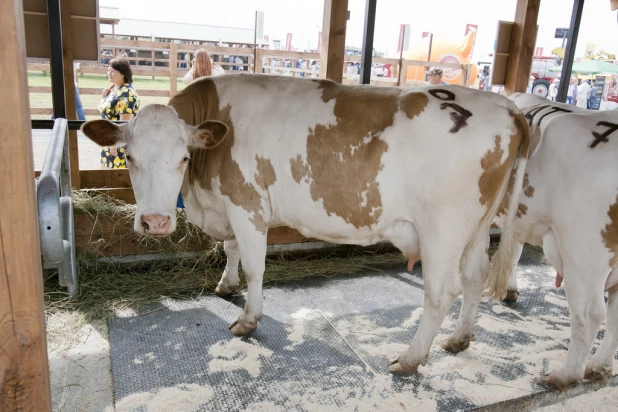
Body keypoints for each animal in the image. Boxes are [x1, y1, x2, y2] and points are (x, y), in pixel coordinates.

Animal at [79, 74, 528, 376]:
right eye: (129, 156)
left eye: (183, 158)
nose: (154, 222)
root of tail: (505, 106)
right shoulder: (229, 208)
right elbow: (230, 250)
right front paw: (225, 284)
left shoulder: (247, 206)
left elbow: (255, 266)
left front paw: (248, 318)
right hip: (475, 228)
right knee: (475, 276)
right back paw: (459, 339)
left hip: (443, 229)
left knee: (441, 292)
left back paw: (410, 358)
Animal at [494, 92, 618, 390]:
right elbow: (513, 251)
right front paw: (510, 289)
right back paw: (599, 366)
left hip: (583, 251)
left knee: (589, 313)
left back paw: (565, 376)